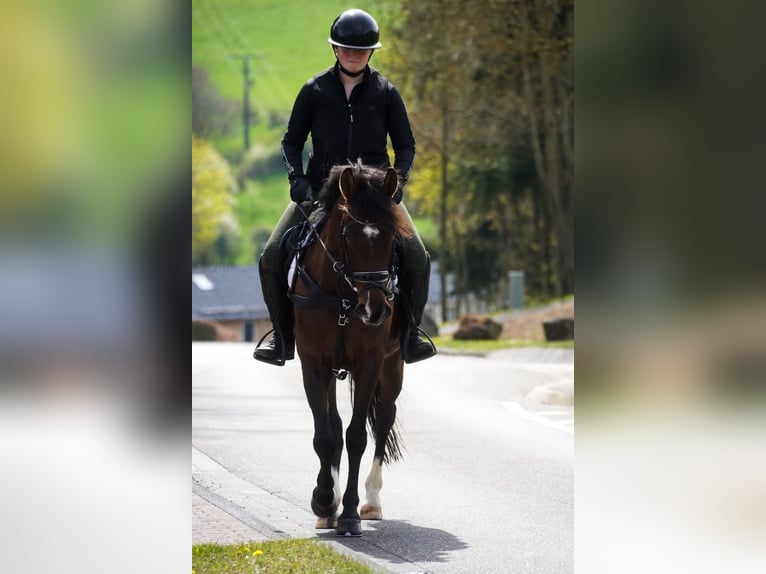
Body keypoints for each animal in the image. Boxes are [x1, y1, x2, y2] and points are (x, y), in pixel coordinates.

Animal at [289, 160, 412, 537]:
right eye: (349, 235)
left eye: (392, 237)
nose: (375, 310)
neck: (343, 296)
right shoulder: (313, 363)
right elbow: (326, 436)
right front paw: (324, 501)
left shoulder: (369, 363)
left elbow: (357, 436)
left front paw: (350, 513)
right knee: (334, 423)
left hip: (392, 366)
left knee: (383, 420)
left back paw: (371, 501)